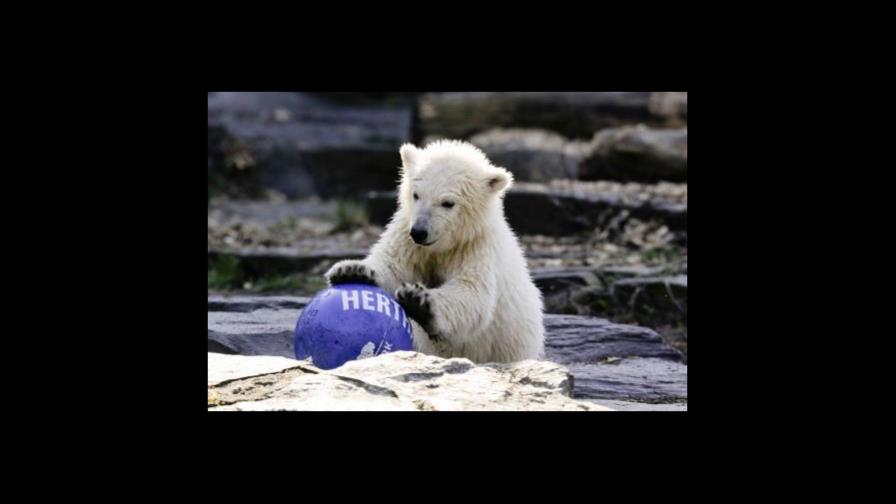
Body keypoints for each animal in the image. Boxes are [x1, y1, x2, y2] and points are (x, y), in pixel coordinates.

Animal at [324, 139, 545, 363]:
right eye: (416, 194)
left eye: (447, 203)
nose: (419, 232)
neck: (443, 246)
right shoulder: (407, 238)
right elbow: (393, 265)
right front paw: (351, 271)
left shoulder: (477, 247)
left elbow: (472, 291)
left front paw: (418, 303)